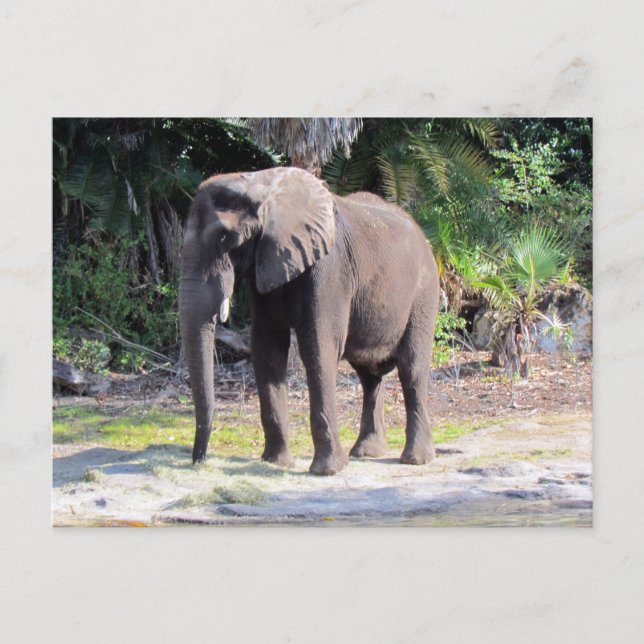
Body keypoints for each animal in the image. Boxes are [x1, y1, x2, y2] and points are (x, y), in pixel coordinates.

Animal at [179, 166, 439, 475]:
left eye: (223, 238)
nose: (199, 462)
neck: (262, 184)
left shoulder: (329, 269)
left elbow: (318, 347)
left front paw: (327, 471)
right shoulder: (266, 265)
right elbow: (267, 350)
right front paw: (276, 462)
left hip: (423, 293)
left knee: (411, 368)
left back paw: (415, 459)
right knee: (369, 375)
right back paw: (366, 453)